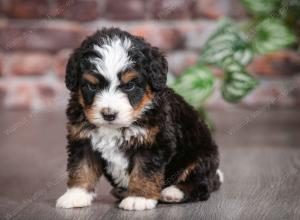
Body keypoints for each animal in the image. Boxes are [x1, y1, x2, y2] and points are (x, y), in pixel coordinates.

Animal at [55, 27, 223, 211]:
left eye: (129, 85)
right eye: (92, 86)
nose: (109, 114)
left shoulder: (153, 142)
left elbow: (144, 171)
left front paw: (139, 197)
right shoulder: (82, 139)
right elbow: (82, 168)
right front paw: (76, 195)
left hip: (201, 156)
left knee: (202, 184)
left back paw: (173, 192)